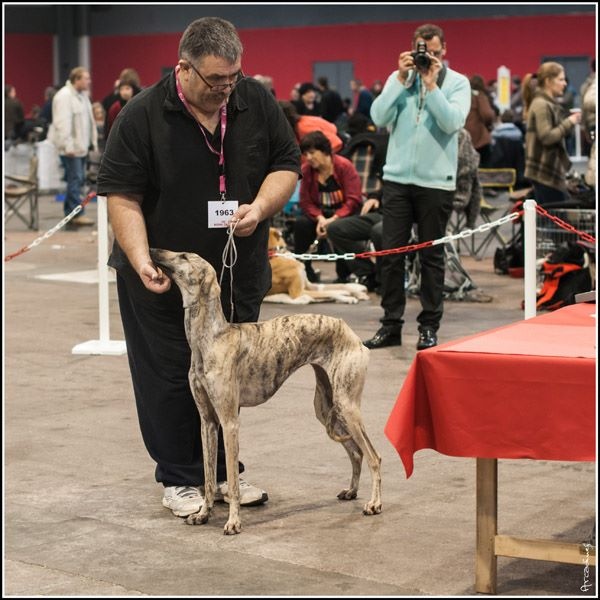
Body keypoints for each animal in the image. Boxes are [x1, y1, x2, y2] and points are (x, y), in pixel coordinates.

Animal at [150, 246, 384, 536]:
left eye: (183, 256)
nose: (152, 250)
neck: (211, 339)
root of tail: (353, 334)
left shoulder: (230, 422)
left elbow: (232, 482)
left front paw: (233, 522)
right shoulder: (208, 422)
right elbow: (208, 478)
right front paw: (203, 514)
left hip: (347, 405)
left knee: (374, 456)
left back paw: (374, 504)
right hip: (327, 406)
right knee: (356, 452)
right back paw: (351, 491)